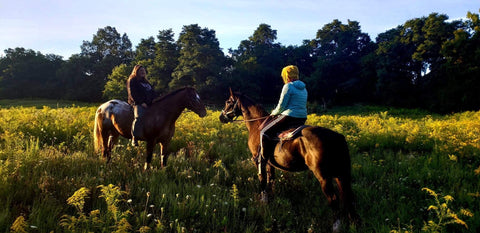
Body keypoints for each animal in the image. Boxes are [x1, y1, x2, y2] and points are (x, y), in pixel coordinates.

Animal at [219, 90, 358, 230]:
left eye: (228, 101)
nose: (221, 117)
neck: (257, 125)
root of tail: (337, 137)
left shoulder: (258, 161)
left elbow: (262, 179)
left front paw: (263, 200)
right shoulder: (269, 163)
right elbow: (271, 180)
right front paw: (269, 200)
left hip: (324, 177)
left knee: (334, 199)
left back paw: (336, 226)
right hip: (341, 175)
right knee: (348, 197)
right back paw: (353, 223)